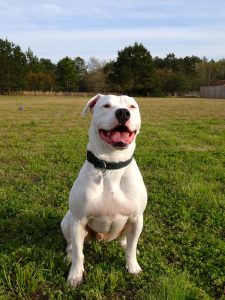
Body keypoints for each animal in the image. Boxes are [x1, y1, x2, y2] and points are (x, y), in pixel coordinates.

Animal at [60, 94, 148, 286]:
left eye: (132, 106)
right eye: (106, 106)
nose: (123, 113)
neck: (112, 165)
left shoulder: (136, 218)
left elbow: (131, 249)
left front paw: (133, 267)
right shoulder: (78, 220)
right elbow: (79, 254)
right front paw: (75, 275)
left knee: (126, 240)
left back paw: (125, 244)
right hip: (67, 221)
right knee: (72, 244)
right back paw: (69, 255)